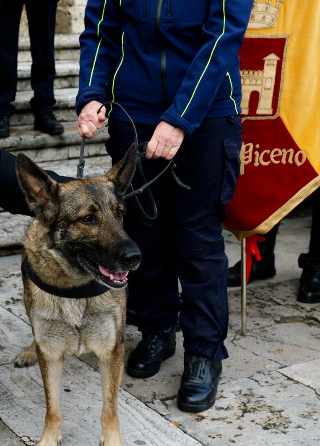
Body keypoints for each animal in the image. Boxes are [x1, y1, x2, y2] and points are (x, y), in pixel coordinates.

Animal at [14, 146, 141, 446]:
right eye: (87, 219)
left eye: (120, 214)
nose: (135, 257)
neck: (75, 287)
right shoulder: (50, 354)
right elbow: (53, 407)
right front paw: (49, 439)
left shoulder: (111, 352)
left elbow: (109, 409)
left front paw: (112, 440)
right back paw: (29, 351)